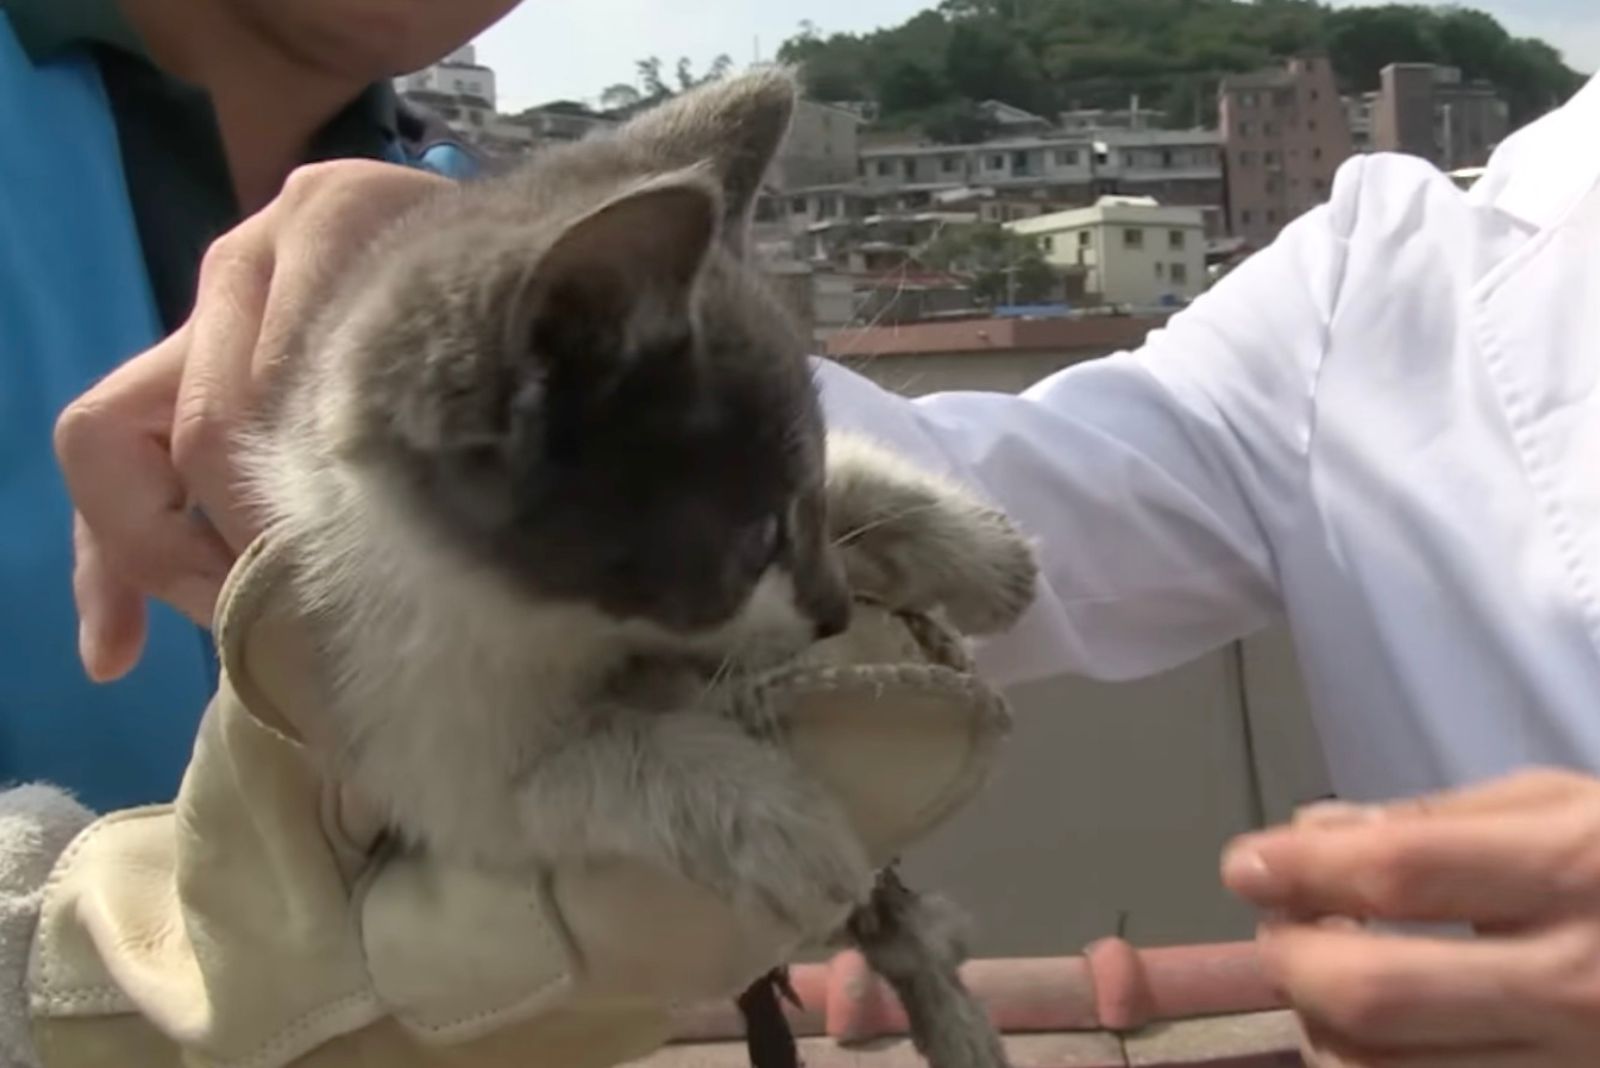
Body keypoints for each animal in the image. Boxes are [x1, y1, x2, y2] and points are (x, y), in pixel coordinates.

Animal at [244, 68, 1030, 1068]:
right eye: (755, 538)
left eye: (803, 500)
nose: (834, 613)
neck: (551, 620)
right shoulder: (413, 739)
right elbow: (571, 771)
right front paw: (764, 812)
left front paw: (969, 547)